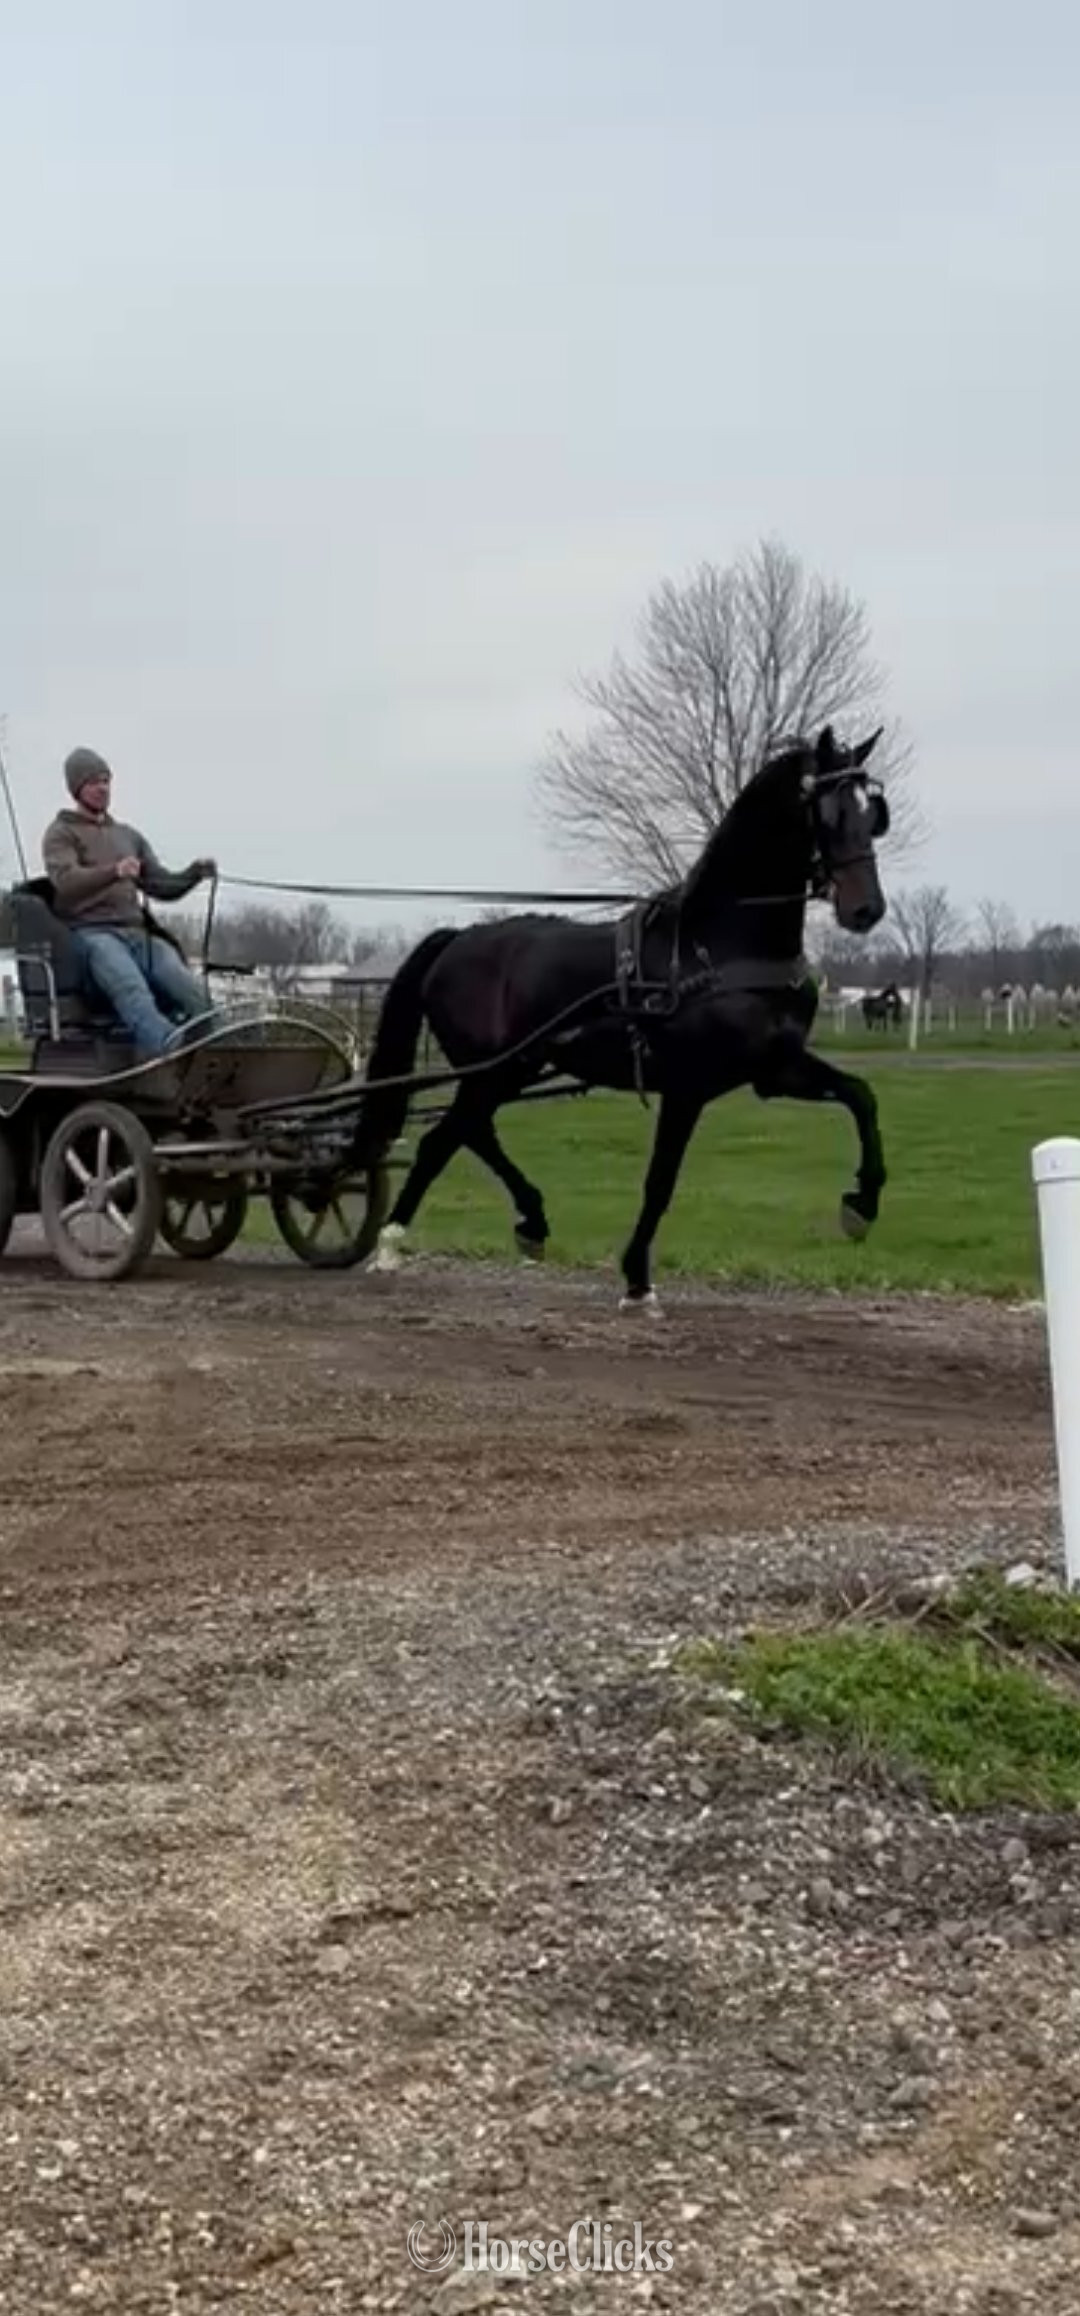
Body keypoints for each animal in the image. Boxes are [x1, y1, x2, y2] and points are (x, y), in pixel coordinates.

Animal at [355, 725, 890, 1309]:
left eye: (873, 813)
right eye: (830, 811)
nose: (867, 911)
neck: (715, 948)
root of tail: (458, 939)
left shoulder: (774, 1070)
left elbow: (862, 1096)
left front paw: (862, 1205)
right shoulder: (687, 1086)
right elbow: (660, 1181)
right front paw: (636, 1277)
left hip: (508, 1071)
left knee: (467, 1132)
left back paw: (527, 1221)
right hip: (493, 1070)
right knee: (446, 1138)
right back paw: (392, 1241)